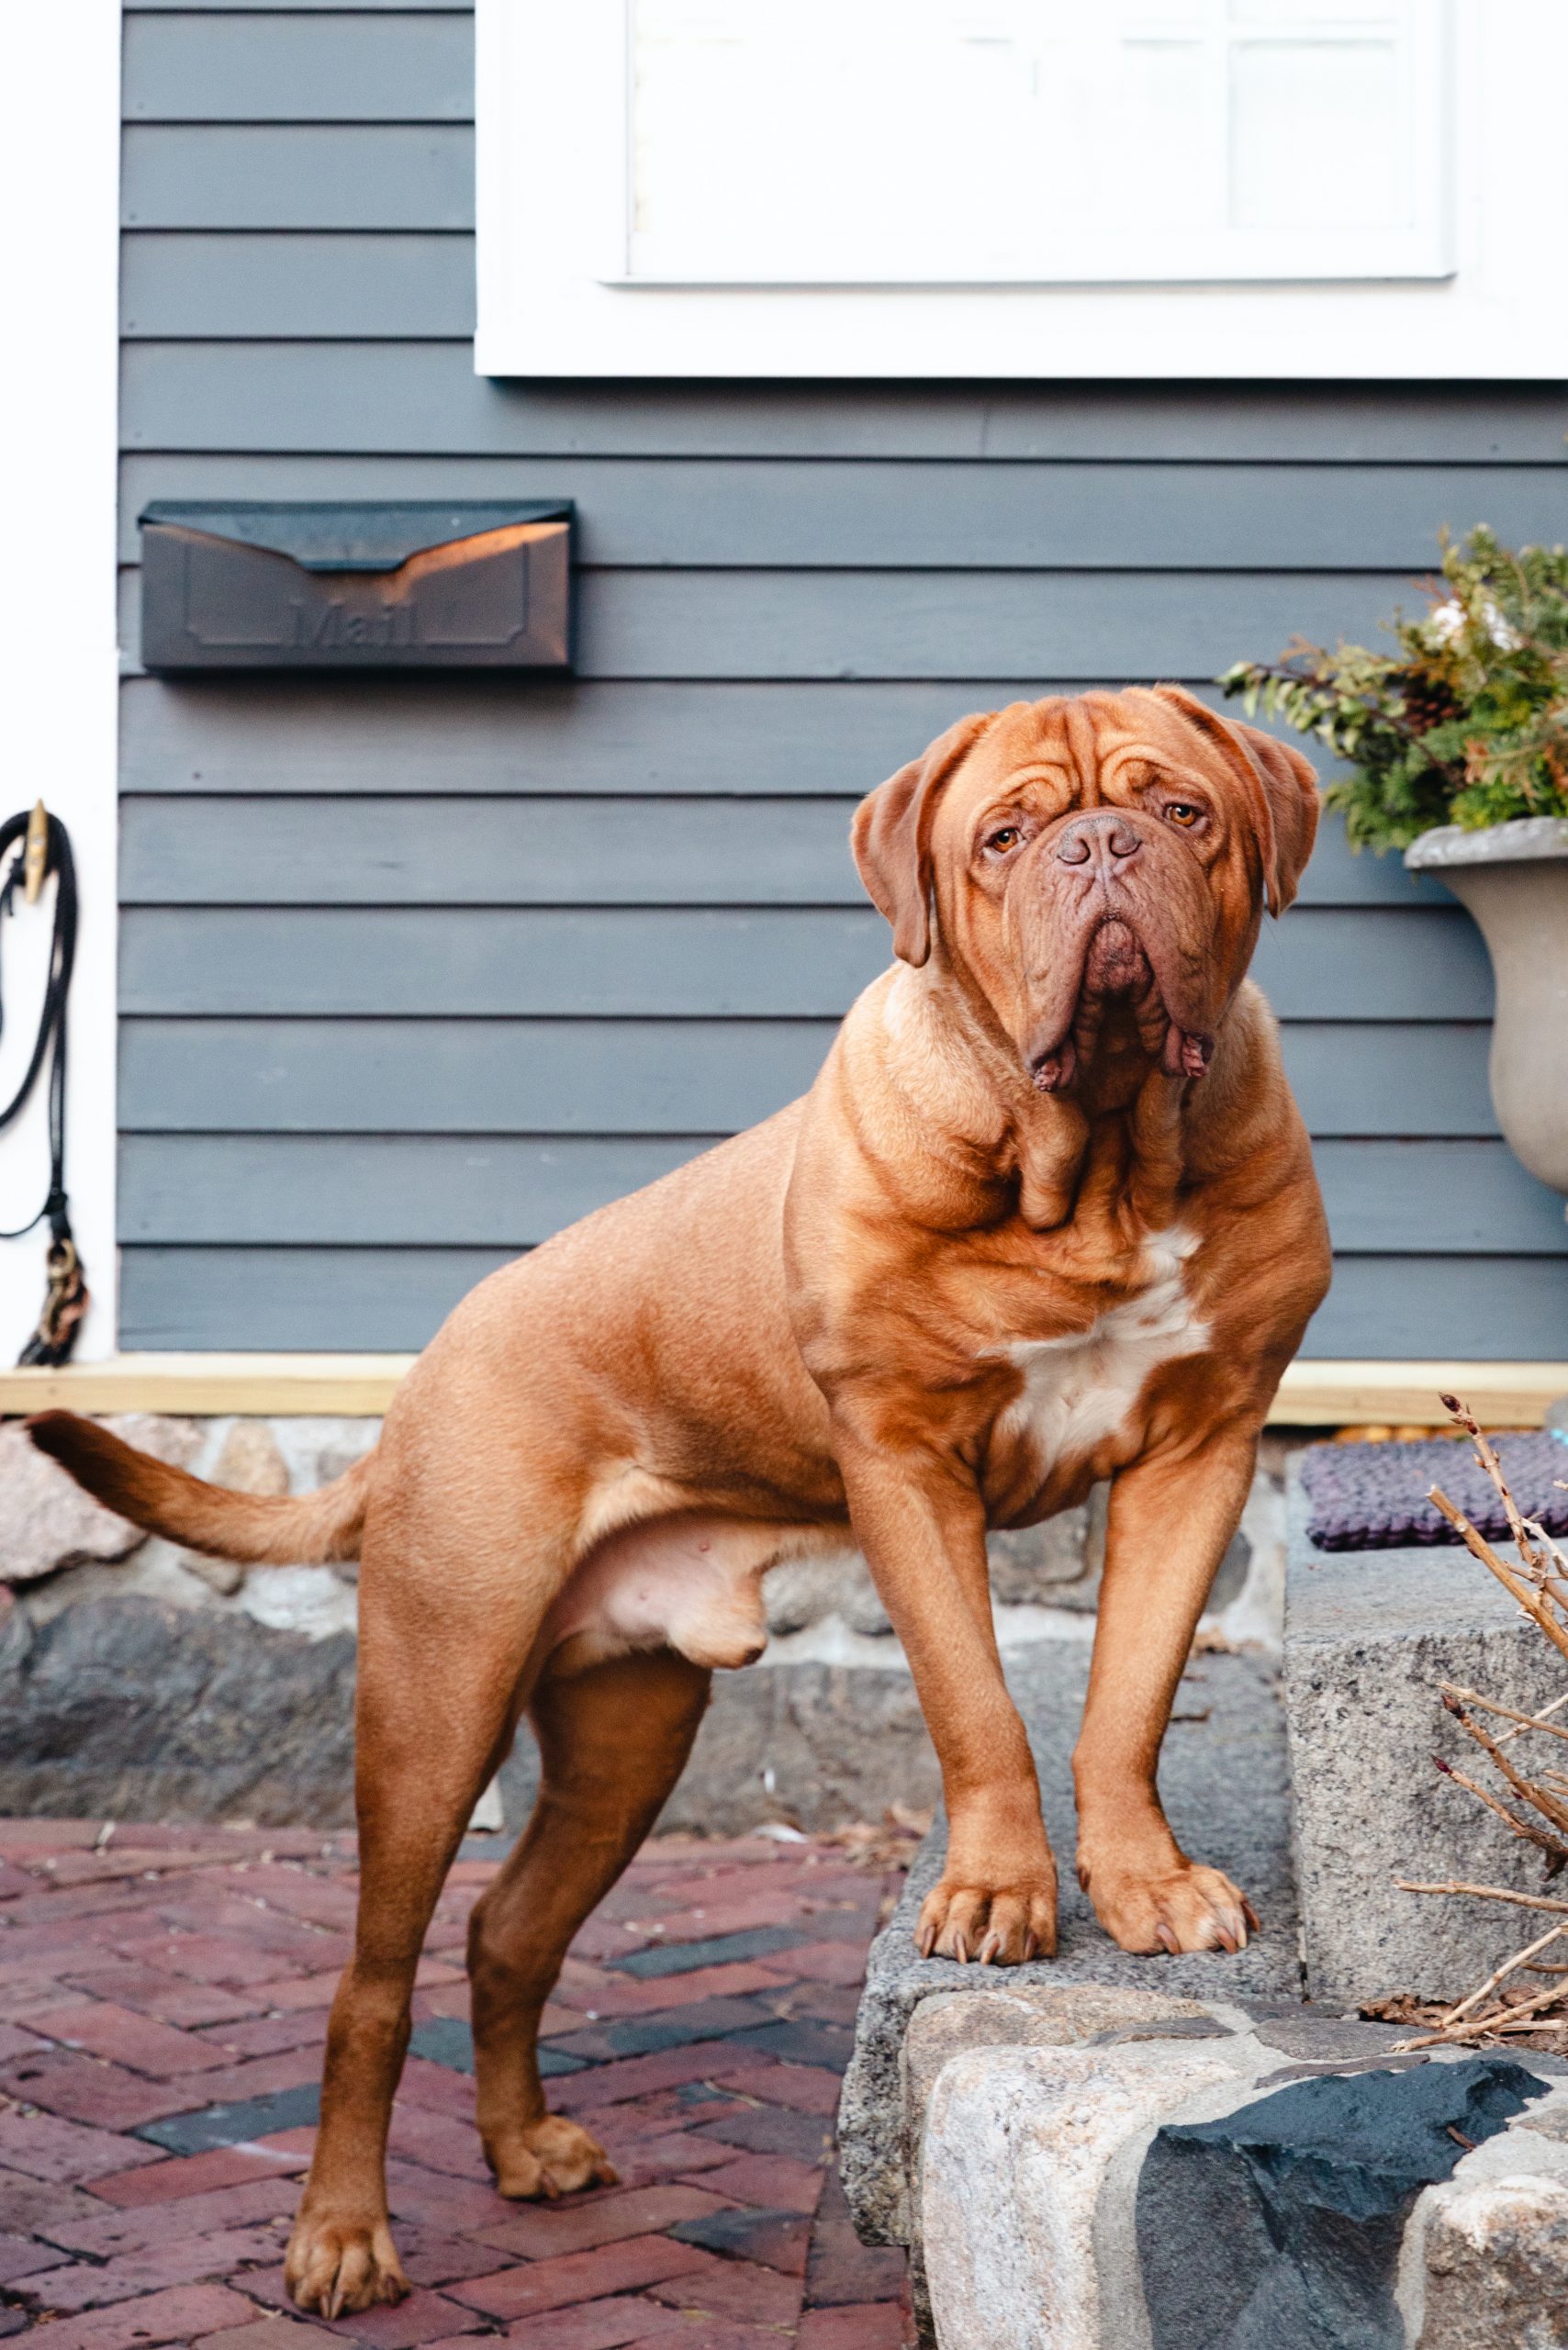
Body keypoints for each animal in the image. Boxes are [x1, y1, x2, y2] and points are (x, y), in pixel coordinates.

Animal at [30, 681, 1335, 2312]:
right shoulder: (905, 1462)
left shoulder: (1202, 1447)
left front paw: (1144, 1887)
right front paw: (995, 1897)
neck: (1094, 1167)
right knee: (371, 1980)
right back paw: (340, 2236)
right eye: (1005, 838)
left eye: (1180, 814)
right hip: (439, 1690)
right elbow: (976, 1704)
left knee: (509, 1930)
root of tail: (424, 1377)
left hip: (626, 1730)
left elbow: (1128, 1699)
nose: (1100, 848)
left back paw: (524, 2153)